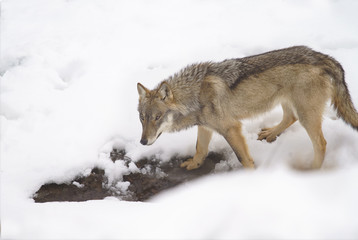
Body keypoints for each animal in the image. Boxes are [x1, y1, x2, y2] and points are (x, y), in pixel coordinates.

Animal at [136, 46, 356, 170]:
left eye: (157, 117)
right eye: (142, 118)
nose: (142, 141)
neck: (195, 94)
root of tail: (323, 57)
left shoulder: (231, 128)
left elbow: (243, 159)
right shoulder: (206, 126)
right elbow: (200, 149)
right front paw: (194, 164)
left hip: (306, 116)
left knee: (321, 144)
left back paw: (314, 170)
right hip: (288, 105)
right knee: (289, 118)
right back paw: (270, 134)